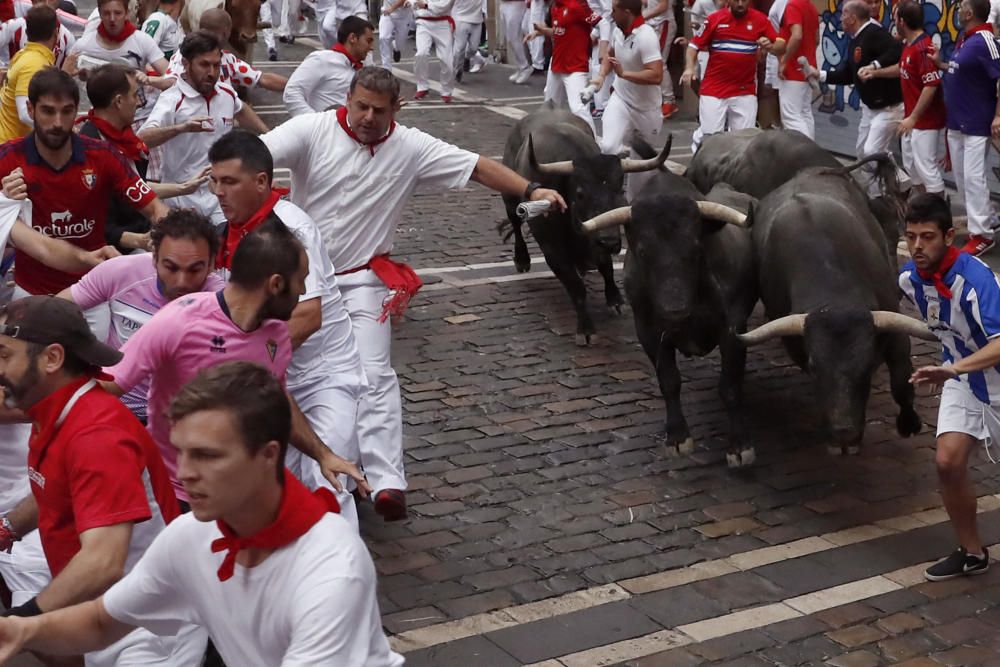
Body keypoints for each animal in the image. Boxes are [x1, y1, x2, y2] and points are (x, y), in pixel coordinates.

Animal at [500, 107, 672, 348]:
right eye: (580, 193)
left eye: (620, 190)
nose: (609, 242)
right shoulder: (553, 249)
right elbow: (576, 287)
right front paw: (586, 330)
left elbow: (607, 268)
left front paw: (615, 299)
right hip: (509, 199)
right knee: (516, 225)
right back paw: (522, 259)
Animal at [736, 164, 936, 454]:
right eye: (813, 366)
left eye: (868, 365)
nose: (844, 435)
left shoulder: (895, 330)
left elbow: (901, 380)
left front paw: (909, 423)